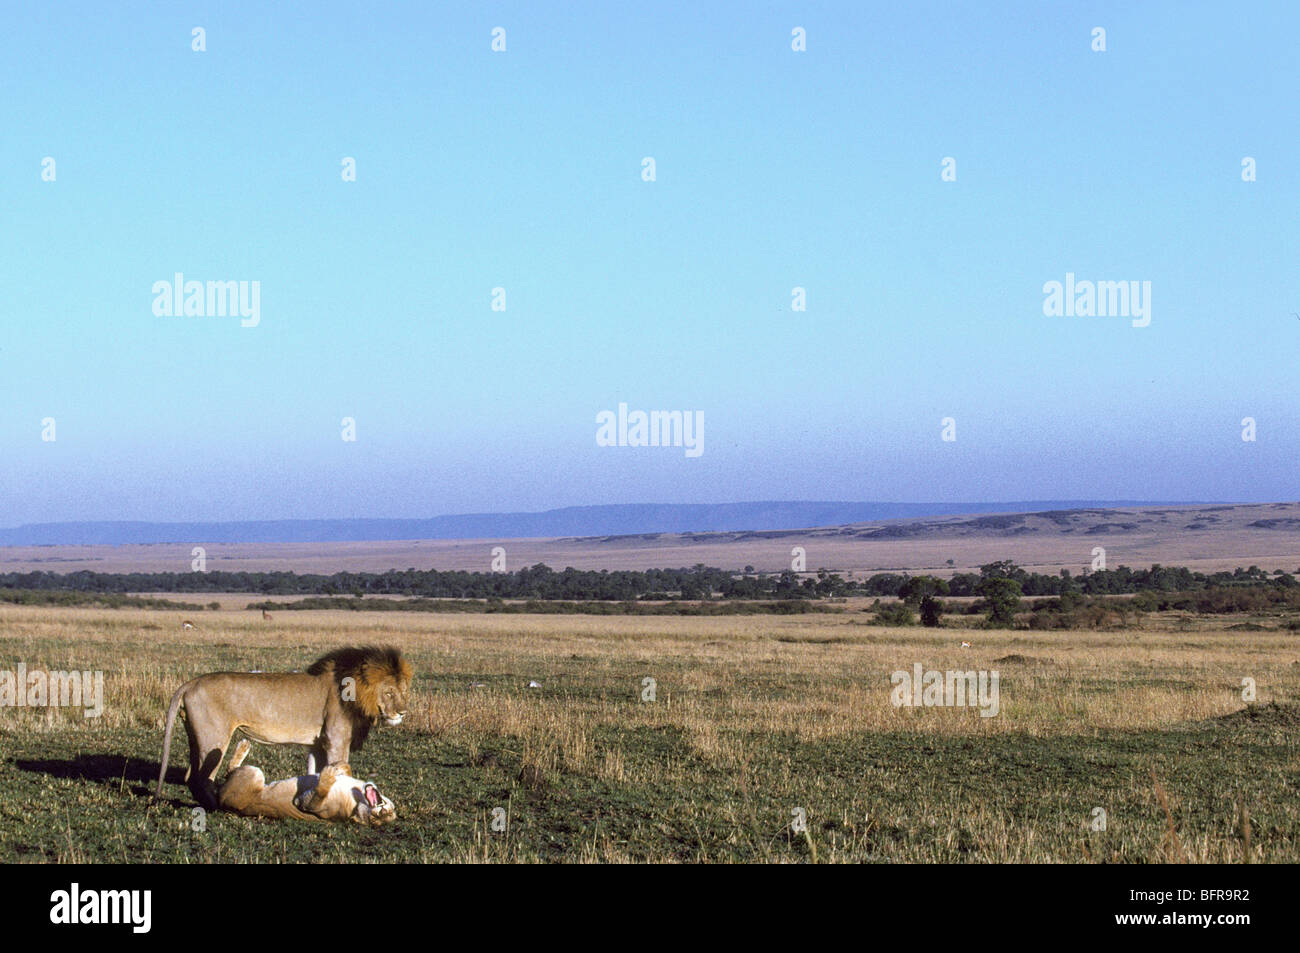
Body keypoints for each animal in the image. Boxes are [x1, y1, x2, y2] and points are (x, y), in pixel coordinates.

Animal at [154, 645, 413, 809]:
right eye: (389, 692)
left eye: (403, 691)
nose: (402, 712)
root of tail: (190, 683)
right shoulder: (336, 741)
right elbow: (342, 770)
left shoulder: (319, 744)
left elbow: (315, 771)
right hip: (214, 739)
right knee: (202, 778)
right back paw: (216, 805)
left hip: (196, 737)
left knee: (190, 775)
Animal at [216, 739, 396, 826]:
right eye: (389, 811)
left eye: (382, 816)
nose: (380, 812)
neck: (357, 795)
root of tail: (221, 802)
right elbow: (346, 766)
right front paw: (337, 766)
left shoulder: (305, 803)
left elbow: (320, 793)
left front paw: (329, 773)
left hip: (254, 774)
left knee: (230, 769)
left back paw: (243, 745)